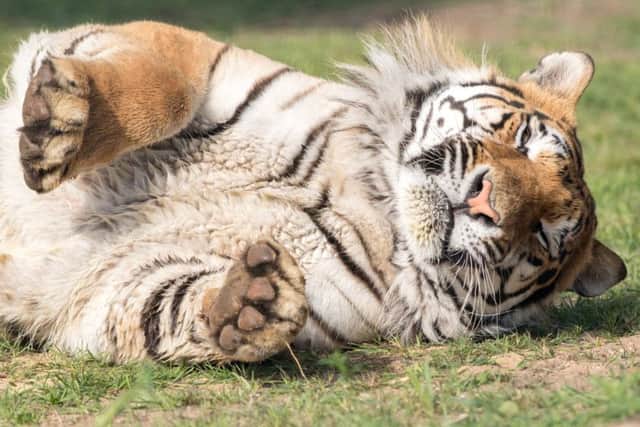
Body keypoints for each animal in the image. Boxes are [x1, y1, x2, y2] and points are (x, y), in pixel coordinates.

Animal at [0, 16, 626, 363]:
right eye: (521, 142)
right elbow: (162, 92)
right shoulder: (192, 56)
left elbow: (165, 303)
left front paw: (253, 301)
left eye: (542, 236)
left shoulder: (110, 280)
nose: (486, 201)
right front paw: (56, 121)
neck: (377, 202)